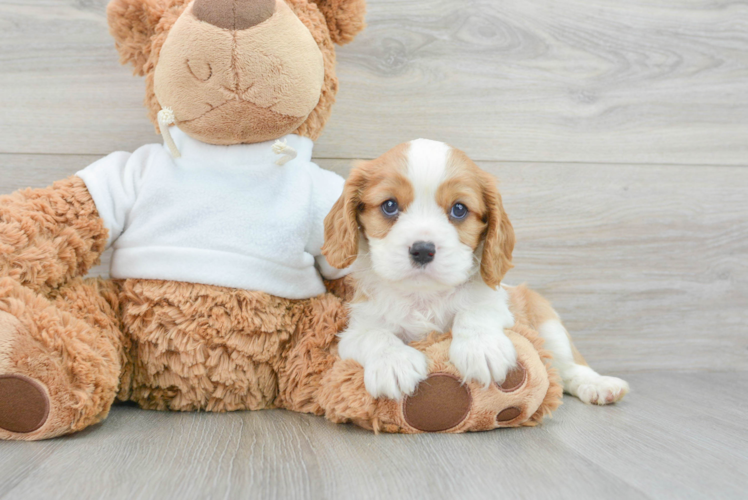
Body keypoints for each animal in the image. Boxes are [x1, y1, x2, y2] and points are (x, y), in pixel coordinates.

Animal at [324, 139, 628, 404]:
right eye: (389, 205)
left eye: (459, 209)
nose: (422, 250)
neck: (424, 296)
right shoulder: (354, 331)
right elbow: (375, 336)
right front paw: (394, 363)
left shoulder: (499, 304)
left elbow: (475, 311)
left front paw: (481, 349)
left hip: (548, 322)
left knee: (568, 366)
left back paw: (598, 385)